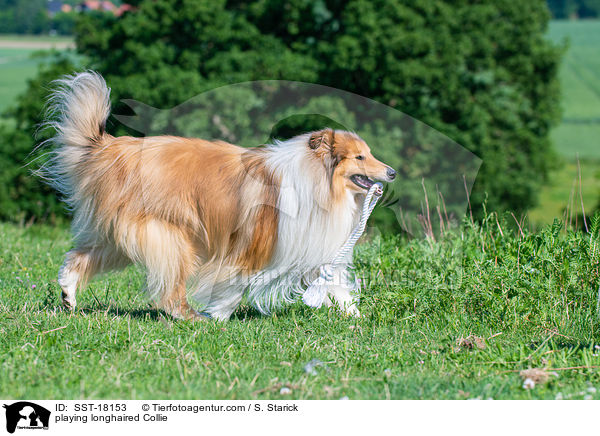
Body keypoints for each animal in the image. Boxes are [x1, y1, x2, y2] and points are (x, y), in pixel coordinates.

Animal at [43, 72, 398, 320]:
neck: (317, 180)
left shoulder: (310, 246)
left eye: (369, 153)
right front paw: (218, 316)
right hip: (172, 239)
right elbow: (234, 285)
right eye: (360, 157)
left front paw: (357, 318)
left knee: (77, 257)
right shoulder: (253, 246)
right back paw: (192, 317)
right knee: (169, 290)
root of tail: (115, 148)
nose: (393, 172)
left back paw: (68, 296)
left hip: (120, 239)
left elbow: (337, 288)